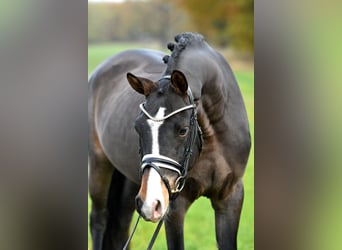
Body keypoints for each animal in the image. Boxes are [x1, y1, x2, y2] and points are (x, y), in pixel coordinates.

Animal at [87, 33, 251, 250]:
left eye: (183, 130)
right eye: (137, 128)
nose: (150, 204)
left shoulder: (230, 197)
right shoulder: (175, 207)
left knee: (121, 226)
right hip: (100, 165)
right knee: (99, 219)